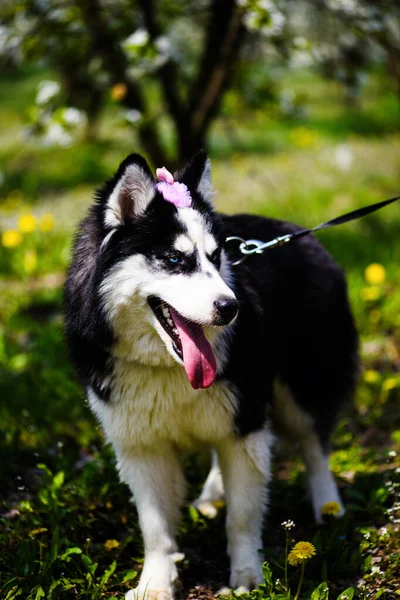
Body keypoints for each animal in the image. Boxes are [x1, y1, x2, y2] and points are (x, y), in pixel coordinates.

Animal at [64, 154, 358, 600]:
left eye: (217, 257)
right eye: (174, 260)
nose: (230, 307)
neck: (168, 370)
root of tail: (298, 232)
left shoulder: (247, 416)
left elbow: (243, 513)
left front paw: (248, 575)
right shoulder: (140, 445)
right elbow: (155, 528)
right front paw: (155, 583)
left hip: (303, 383)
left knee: (314, 443)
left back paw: (328, 507)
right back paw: (213, 493)